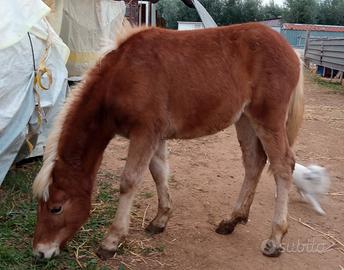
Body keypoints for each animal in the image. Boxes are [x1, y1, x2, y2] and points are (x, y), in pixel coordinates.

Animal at [30, 23, 302, 260]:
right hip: (245, 119)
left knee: (283, 166)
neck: (122, 74)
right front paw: (160, 220)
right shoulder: (156, 136)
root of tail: (291, 52)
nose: (40, 252)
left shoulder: (145, 133)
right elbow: (159, 172)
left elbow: (129, 181)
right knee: (254, 163)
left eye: (56, 207)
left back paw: (275, 238)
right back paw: (232, 220)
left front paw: (112, 240)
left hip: (268, 119)